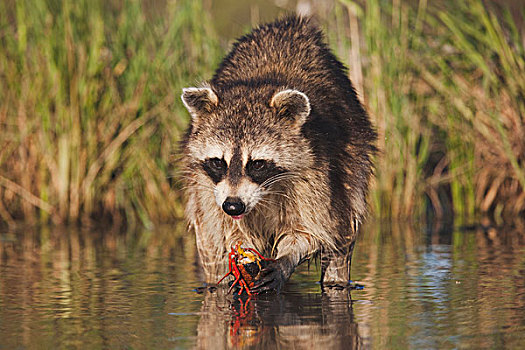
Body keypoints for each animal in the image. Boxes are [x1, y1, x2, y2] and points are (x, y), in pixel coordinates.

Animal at [181, 15, 376, 292]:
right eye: (218, 162)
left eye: (257, 164)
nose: (232, 205)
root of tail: (290, 25)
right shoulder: (207, 187)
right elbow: (223, 230)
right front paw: (240, 247)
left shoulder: (319, 172)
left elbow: (314, 230)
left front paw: (286, 258)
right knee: (211, 249)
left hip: (351, 164)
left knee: (342, 234)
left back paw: (338, 282)